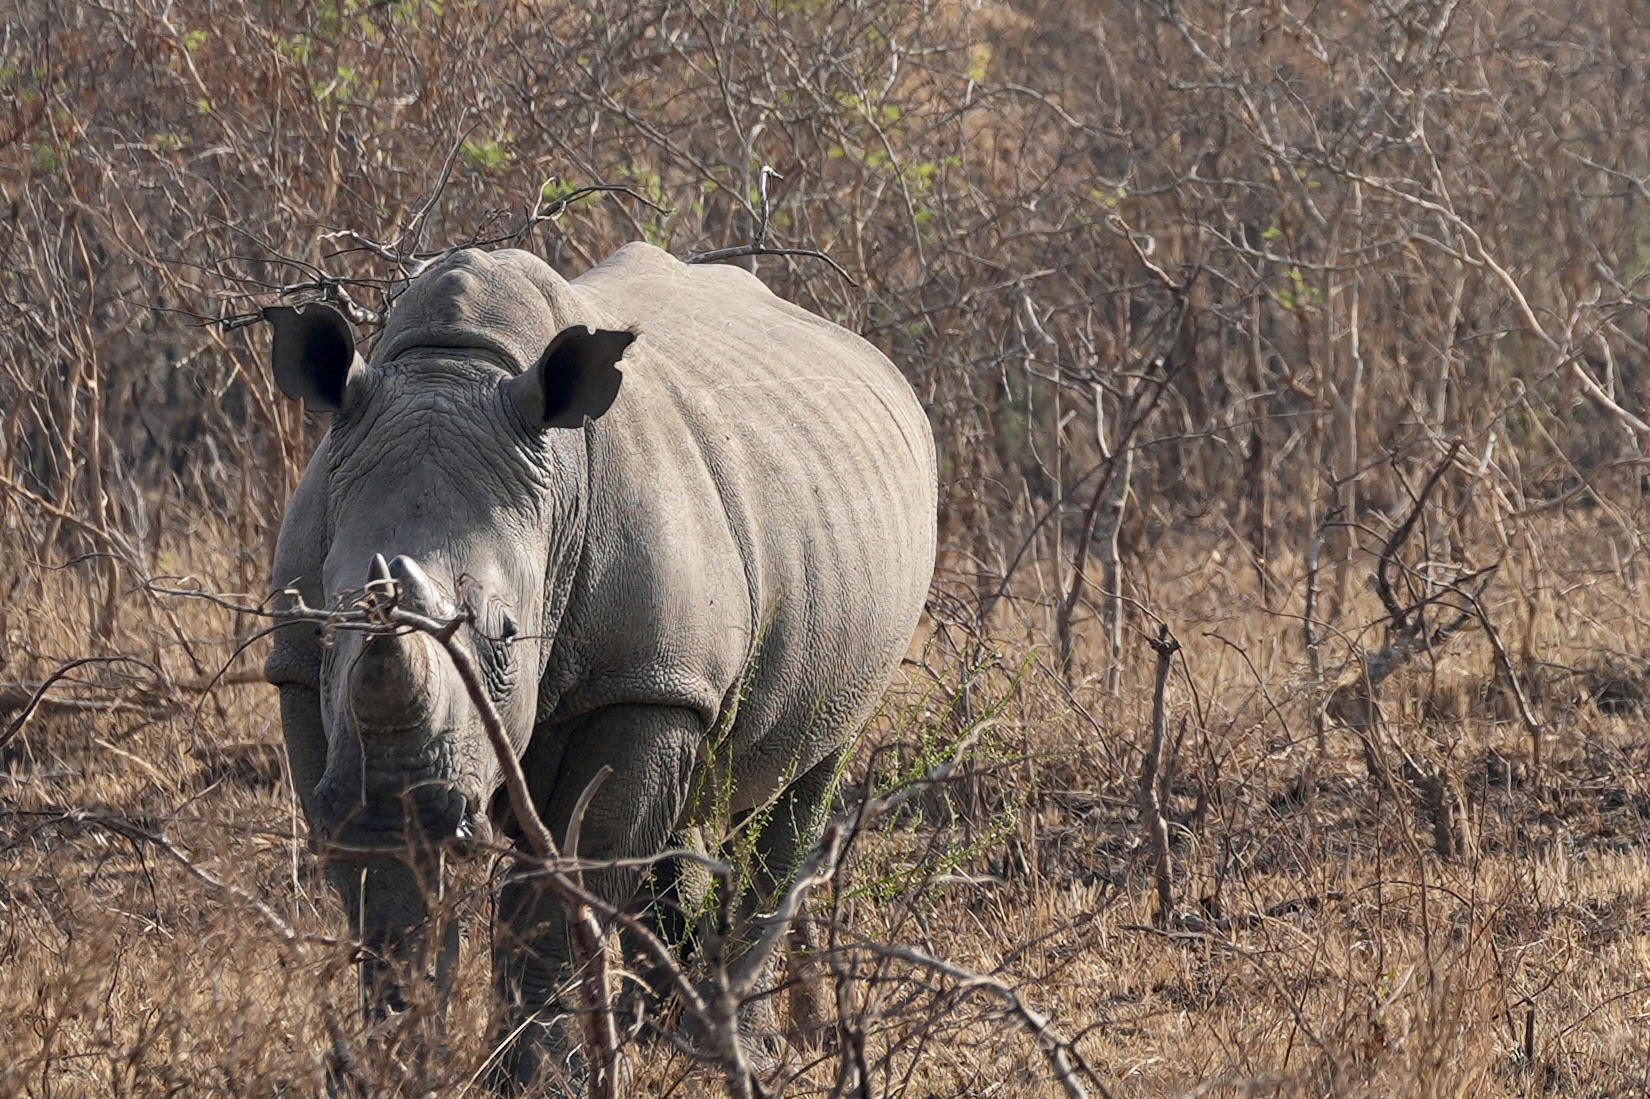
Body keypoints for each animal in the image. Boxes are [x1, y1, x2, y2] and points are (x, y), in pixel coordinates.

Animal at [261, 242, 936, 1089]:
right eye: (329, 622)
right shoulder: (302, 679)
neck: (456, 371)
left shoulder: (640, 681)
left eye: (506, 633)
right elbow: (387, 903)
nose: (401, 800)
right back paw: (675, 1029)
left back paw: (736, 1052)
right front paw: (400, 1068)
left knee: (804, 782)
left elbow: (566, 882)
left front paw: (540, 1080)